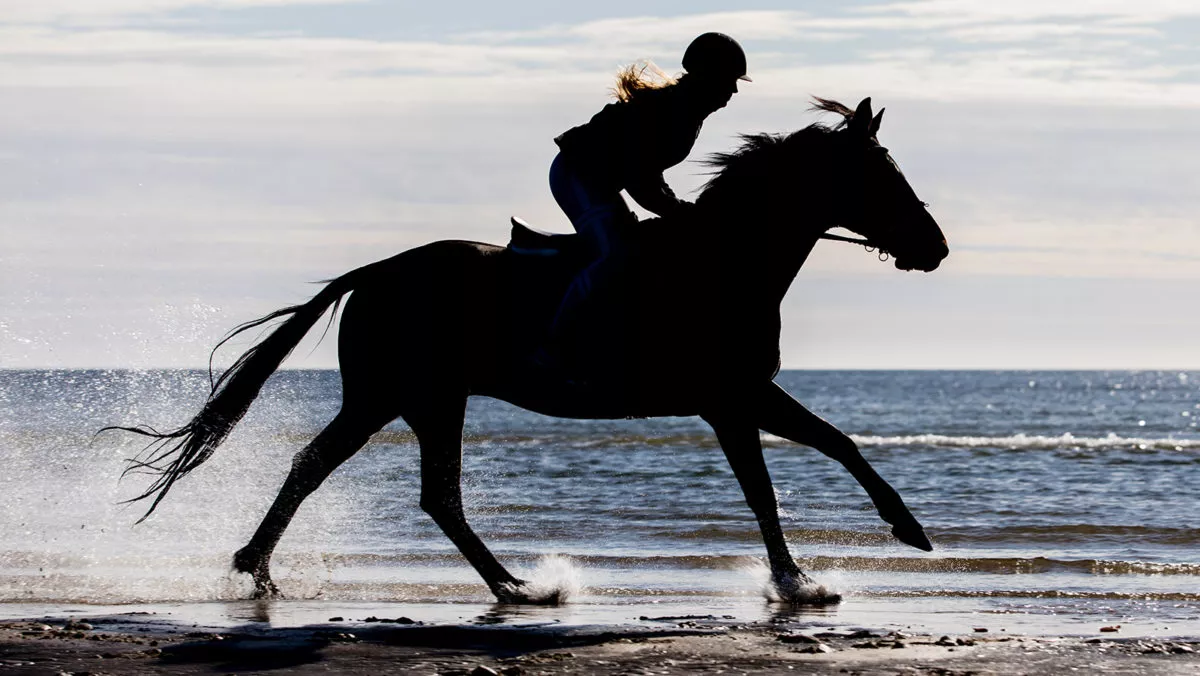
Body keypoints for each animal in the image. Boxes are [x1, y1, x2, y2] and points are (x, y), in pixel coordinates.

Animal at [114, 97, 955, 605]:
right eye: (881, 175)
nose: (937, 248)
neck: (722, 263)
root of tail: (377, 272)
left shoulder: (743, 396)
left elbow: (830, 448)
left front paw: (888, 539)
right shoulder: (731, 400)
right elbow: (775, 484)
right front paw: (805, 578)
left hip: (417, 400)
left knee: (408, 489)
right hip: (399, 397)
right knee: (355, 476)